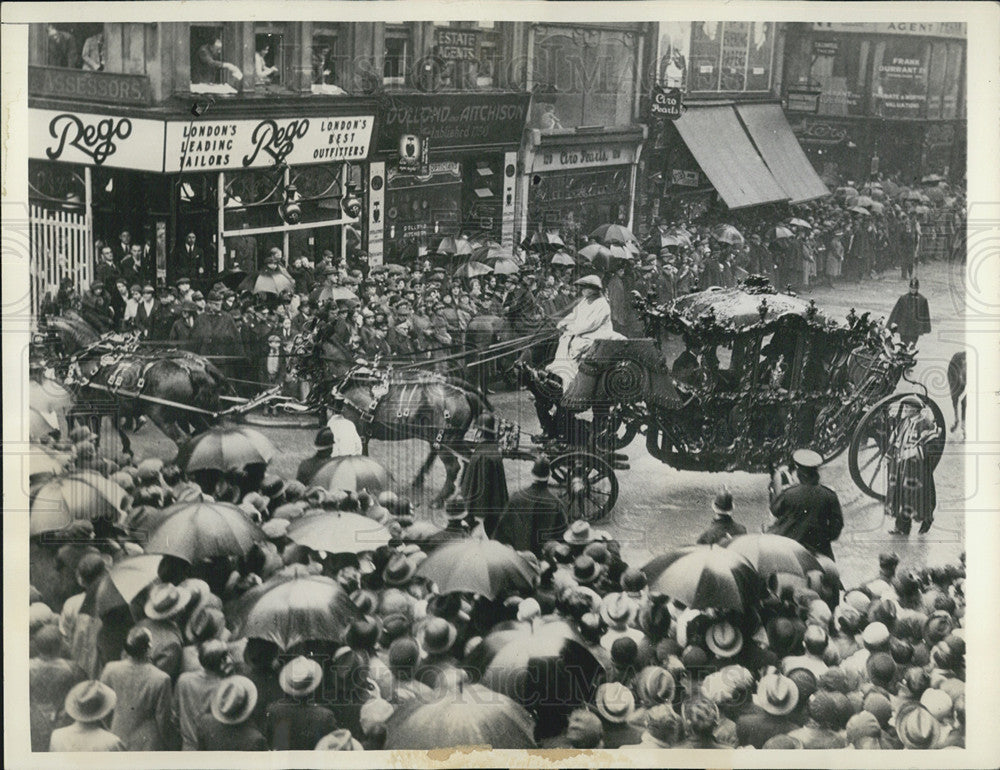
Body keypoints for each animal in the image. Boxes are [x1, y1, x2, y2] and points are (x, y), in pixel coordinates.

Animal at [300, 332, 496, 504]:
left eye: (303, 346)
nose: (293, 370)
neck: (352, 381)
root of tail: (462, 392)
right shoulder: (363, 434)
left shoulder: (360, 432)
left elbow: (361, 457)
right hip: (453, 439)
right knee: (469, 456)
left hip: (444, 439)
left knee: (453, 466)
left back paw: (439, 499)